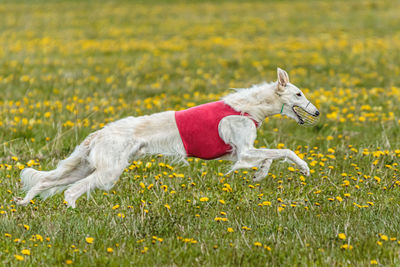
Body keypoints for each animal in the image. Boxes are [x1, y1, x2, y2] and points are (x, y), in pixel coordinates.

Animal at [15, 68, 320, 208]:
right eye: (299, 94)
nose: (317, 112)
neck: (249, 106)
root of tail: (100, 132)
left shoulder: (236, 151)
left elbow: (268, 158)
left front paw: (259, 175)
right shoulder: (243, 149)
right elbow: (284, 152)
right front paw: (304, 168)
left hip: (85, 166)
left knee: (44, 182)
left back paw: (23, 203)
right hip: (108, 171)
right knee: (70, 191)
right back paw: (72, 210)